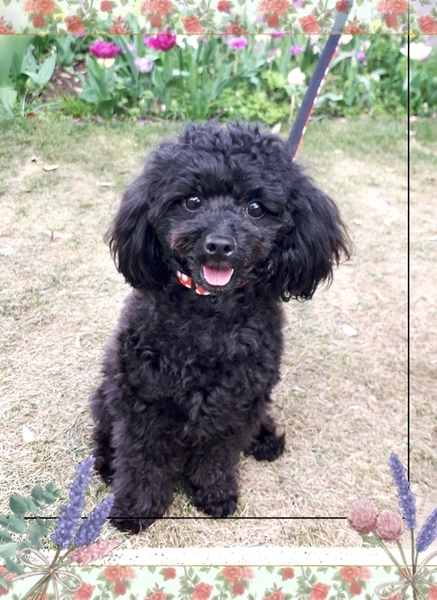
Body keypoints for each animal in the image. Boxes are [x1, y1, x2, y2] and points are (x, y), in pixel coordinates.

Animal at [91, 122, 350, 533]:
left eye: (256, 209)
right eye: (192, 201)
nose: (219, 245)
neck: (210, 312)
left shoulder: (236, 403)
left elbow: (217, 455)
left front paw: (214, 495)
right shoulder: (142, 399)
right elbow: (141, 457)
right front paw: (135, 506)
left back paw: (264, 438)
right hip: (108, 390)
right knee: (104, 428)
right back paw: (106, 463)